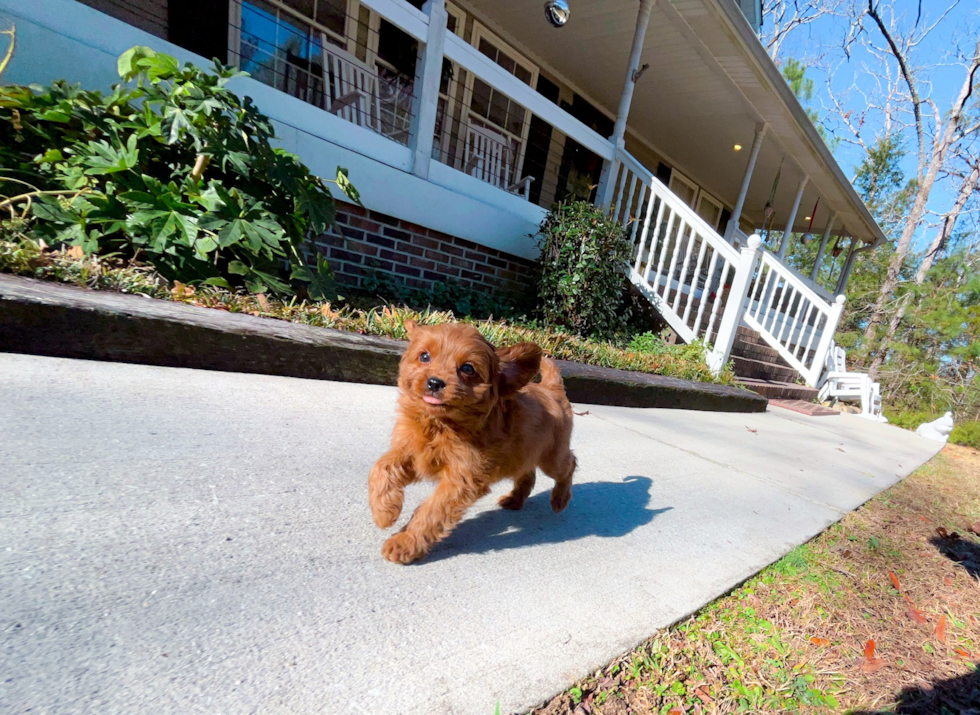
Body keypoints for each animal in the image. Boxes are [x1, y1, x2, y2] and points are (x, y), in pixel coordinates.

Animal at [372, 320, 580, 564]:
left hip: (552, 457)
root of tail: (552, 389)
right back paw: (515, 499)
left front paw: (404, 543)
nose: (434, 382)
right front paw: (384, 511)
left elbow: (432, 510)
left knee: (569, 464)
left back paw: (559, 500)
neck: (439, 424)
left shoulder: (462, 478)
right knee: (528, 473)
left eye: (467, 368)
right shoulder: (412, 452)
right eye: (424, 356)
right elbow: (381, 467)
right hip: (522, 453)